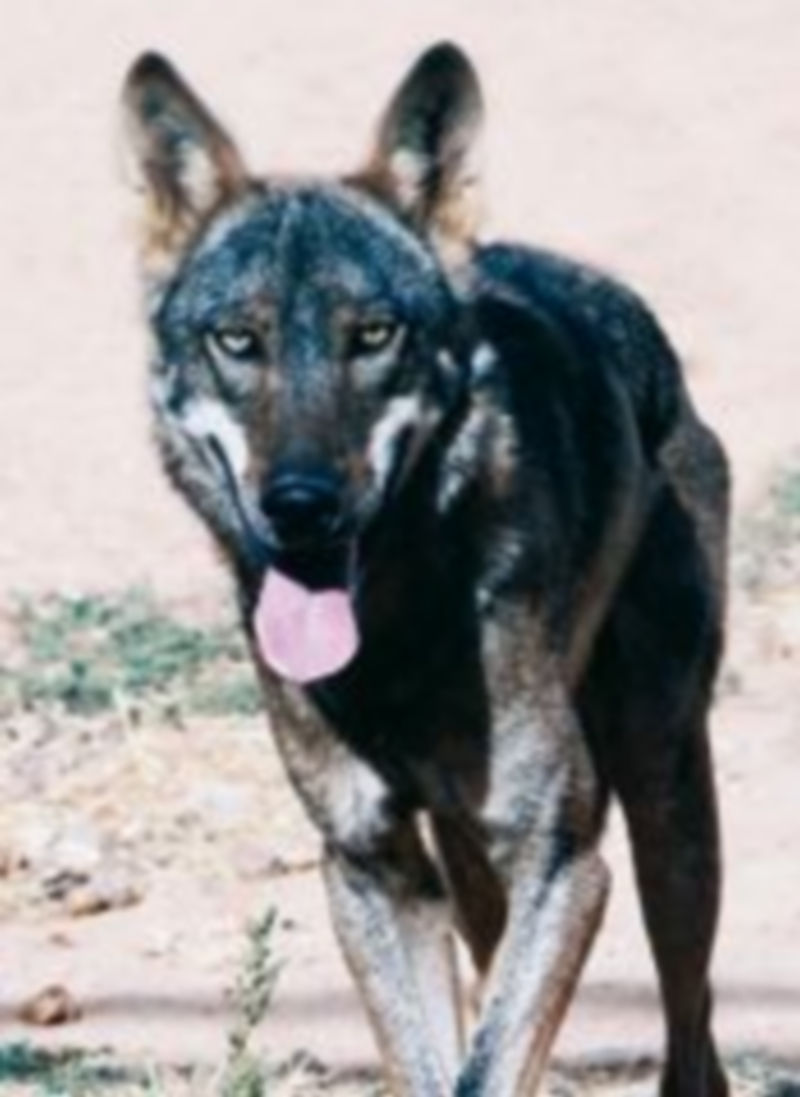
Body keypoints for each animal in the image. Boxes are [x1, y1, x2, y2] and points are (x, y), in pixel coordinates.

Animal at [122, 42, 730, 1097]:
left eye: (373, 335)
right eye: (238, 339)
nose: (301, 504)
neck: (397, 637)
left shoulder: (565, 859)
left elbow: (484, 1070)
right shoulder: (370, 866)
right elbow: (432, 1062)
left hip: (666, 802)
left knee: (691, 1031)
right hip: (476, 864)